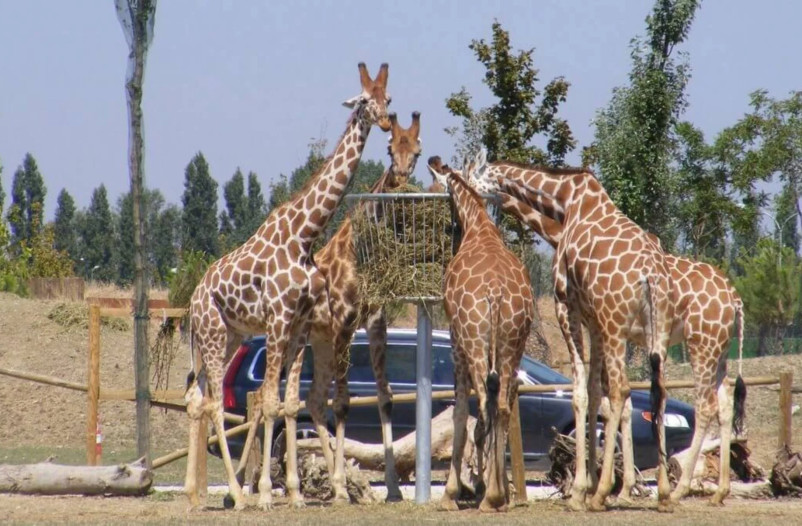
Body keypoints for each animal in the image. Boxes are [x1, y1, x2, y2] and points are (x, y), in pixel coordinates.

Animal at [183, 62, 391, 511]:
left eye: (389, 99)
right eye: (365, 100)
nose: (385, 122)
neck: (304, 235)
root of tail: (192, 301)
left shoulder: (299, 324)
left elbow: (287, 402)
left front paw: (293, 493)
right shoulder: (279, 320)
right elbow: (270, 400)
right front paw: (264, 494)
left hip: (225, 337)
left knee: (196, 399)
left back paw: (193, 494)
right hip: (213, 335)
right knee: (212, 403)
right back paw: (235, 495)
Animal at [427, 154, 534, 512]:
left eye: (434, 184)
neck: (478, 226)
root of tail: (495, 294)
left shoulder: (456, 341)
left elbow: (460, 411)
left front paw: (452, 493)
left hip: (475, 343)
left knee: (485, 404)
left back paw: (488, 495)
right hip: (513, 344)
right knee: (501, 404)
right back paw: (497, 496)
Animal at [473, 160, 676, 512]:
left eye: (471, 175)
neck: (565, 202)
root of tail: (651, 276)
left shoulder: (567, 305)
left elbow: (581, 392)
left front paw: (584, 489)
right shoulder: (594, 320)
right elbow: (595, 394)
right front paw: (594, 483)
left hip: (617, 325)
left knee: (623, 391)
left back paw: (603, 493)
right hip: (653, 332)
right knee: (657, 392)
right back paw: (662, 491)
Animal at [484, 181, 747, 505]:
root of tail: (735, 300)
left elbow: (613, 401)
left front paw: (607, 488)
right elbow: (624, 402)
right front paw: (621, 488)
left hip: (703, 344)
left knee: (705, 405)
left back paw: (679, 490)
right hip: (720, 350)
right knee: (725, 405)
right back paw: (718, 491)